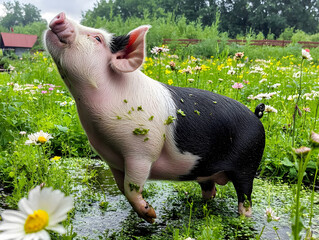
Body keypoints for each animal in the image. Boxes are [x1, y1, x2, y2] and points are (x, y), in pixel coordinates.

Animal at [44, 12, 264, 223]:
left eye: (97, 38)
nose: (60, 15)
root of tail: (257, 116)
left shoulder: (141, 152)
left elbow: (131, 187)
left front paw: (151, 216)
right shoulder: (113, 161)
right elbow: (122, 188)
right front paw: (149, 215)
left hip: (248, 163)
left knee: (245, 197)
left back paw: (243, 219)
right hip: (207, 170)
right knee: (210, 190)